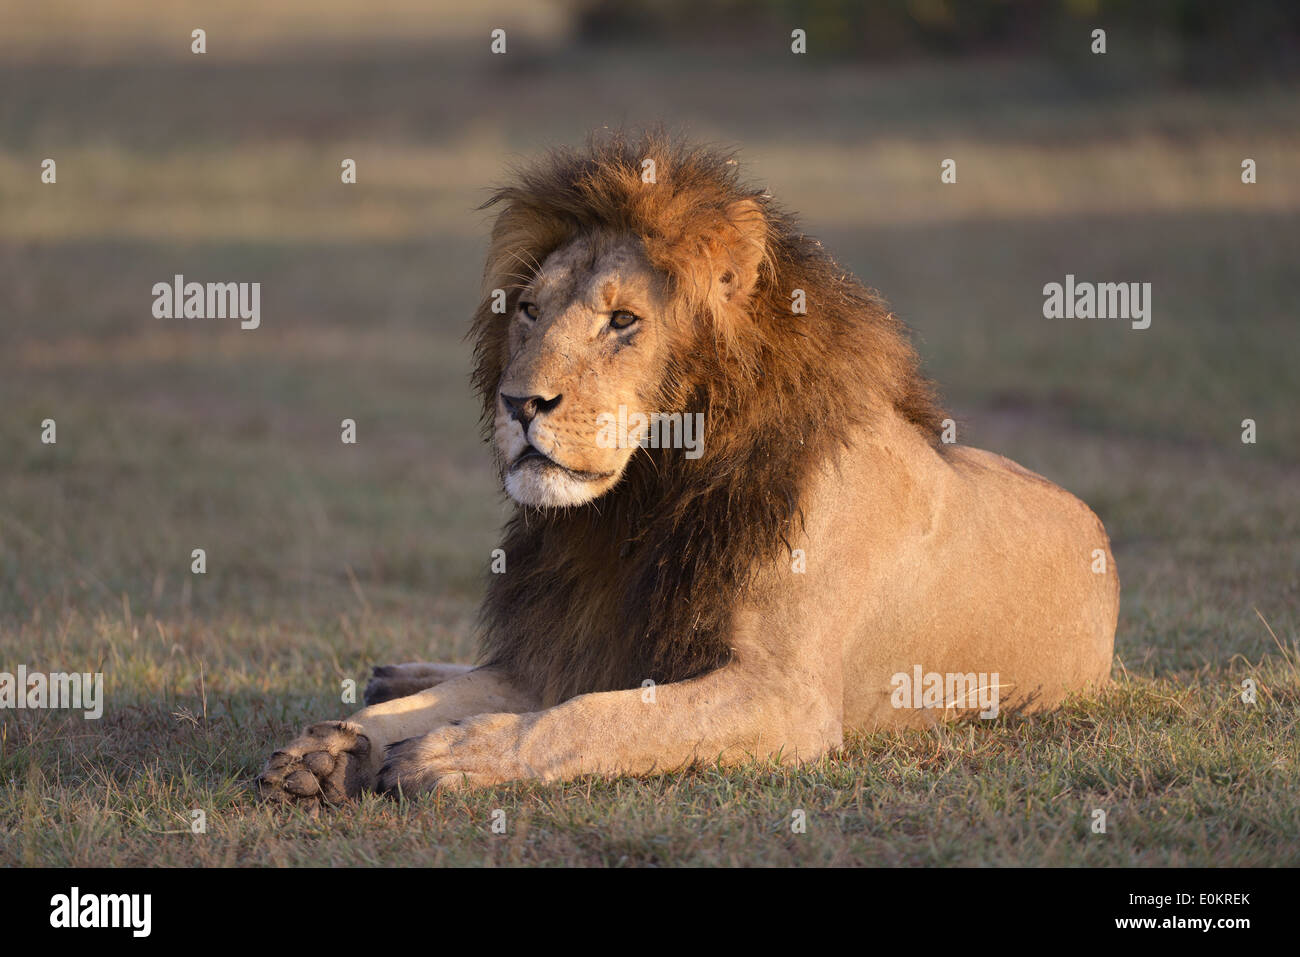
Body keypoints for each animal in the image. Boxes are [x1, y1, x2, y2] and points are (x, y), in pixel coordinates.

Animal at [258, 131, 1118, 806]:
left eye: (622, 321)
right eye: (529, 310)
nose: (519, 401)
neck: (645, 498)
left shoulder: (784, 699)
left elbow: (596, 717)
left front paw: (461, 753)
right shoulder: (574, 644)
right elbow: (463, 694)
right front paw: (333, 747)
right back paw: (389, 675)